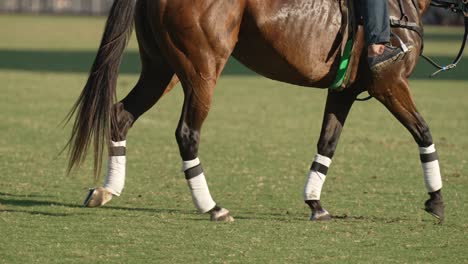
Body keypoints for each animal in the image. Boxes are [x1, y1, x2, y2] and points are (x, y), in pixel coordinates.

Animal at [66, 0, 446, 222]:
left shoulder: (345, 90)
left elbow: (327, 143)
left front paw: (314, 203)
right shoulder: (389, 83)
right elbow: (423, 131)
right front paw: (437, 200)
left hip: (161, 68)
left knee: (120, 114)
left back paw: (107, 190)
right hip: (202, 69)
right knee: (187, 133)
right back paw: (212, 207)